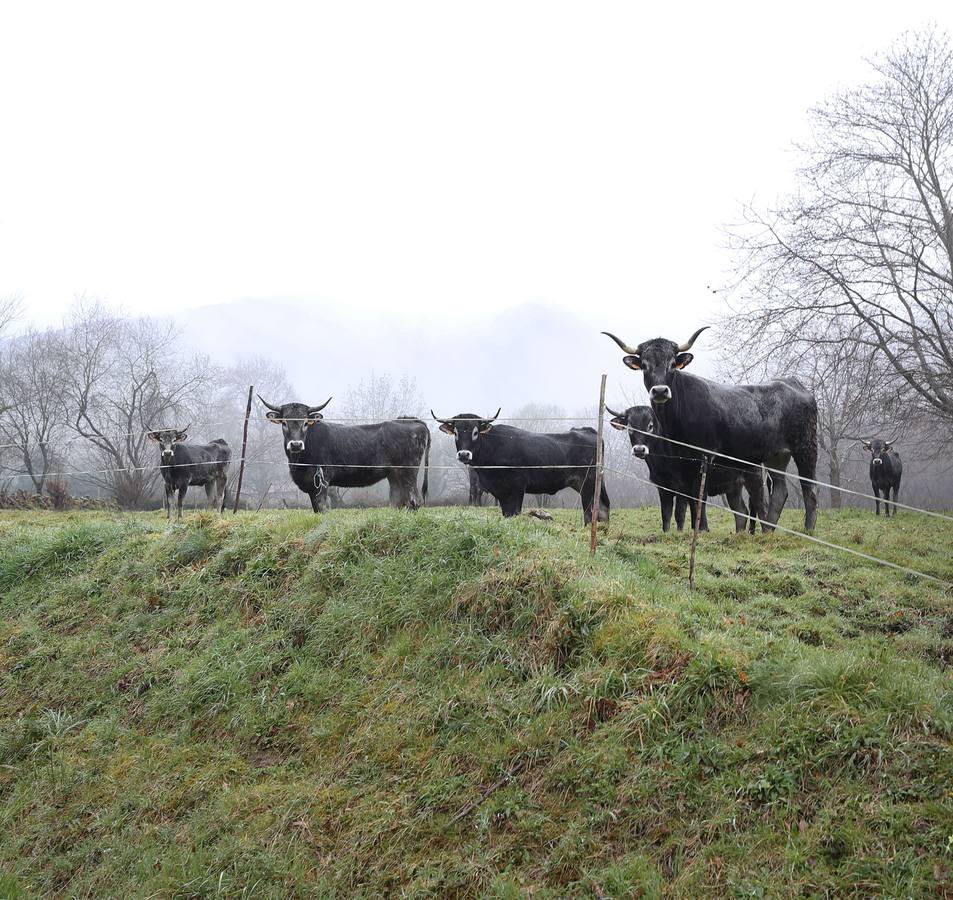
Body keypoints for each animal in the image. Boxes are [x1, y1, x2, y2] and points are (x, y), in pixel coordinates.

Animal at [258, 397, 430, 512]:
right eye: (284, 422)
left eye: (306, 422)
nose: (295, 444)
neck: (299, 463)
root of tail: (410, 420)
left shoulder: (322, 481)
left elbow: (321, 507)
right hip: (394, 475)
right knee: (398, 501)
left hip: (408, 472)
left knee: (414, 500)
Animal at [431, 409, 610, 524]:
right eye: (455, 432)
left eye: (476, 432)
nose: (464, 454)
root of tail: (590, 431)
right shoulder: (501, 492)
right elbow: (506, 514)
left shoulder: (517, 487)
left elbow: (514, 513)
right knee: (603, 507)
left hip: (588, 483)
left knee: (591, 512)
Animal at [607, 404, 763, 533]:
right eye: (629, 426)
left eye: (650, 426)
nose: (639, 449)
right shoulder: (663, 488)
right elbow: (666, 514)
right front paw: (667, 533)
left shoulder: (684, 488)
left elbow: (680, 513)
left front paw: (682, 533)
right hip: (733, 487)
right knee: (741, 512)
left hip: (754, 479)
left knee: (761, 506)